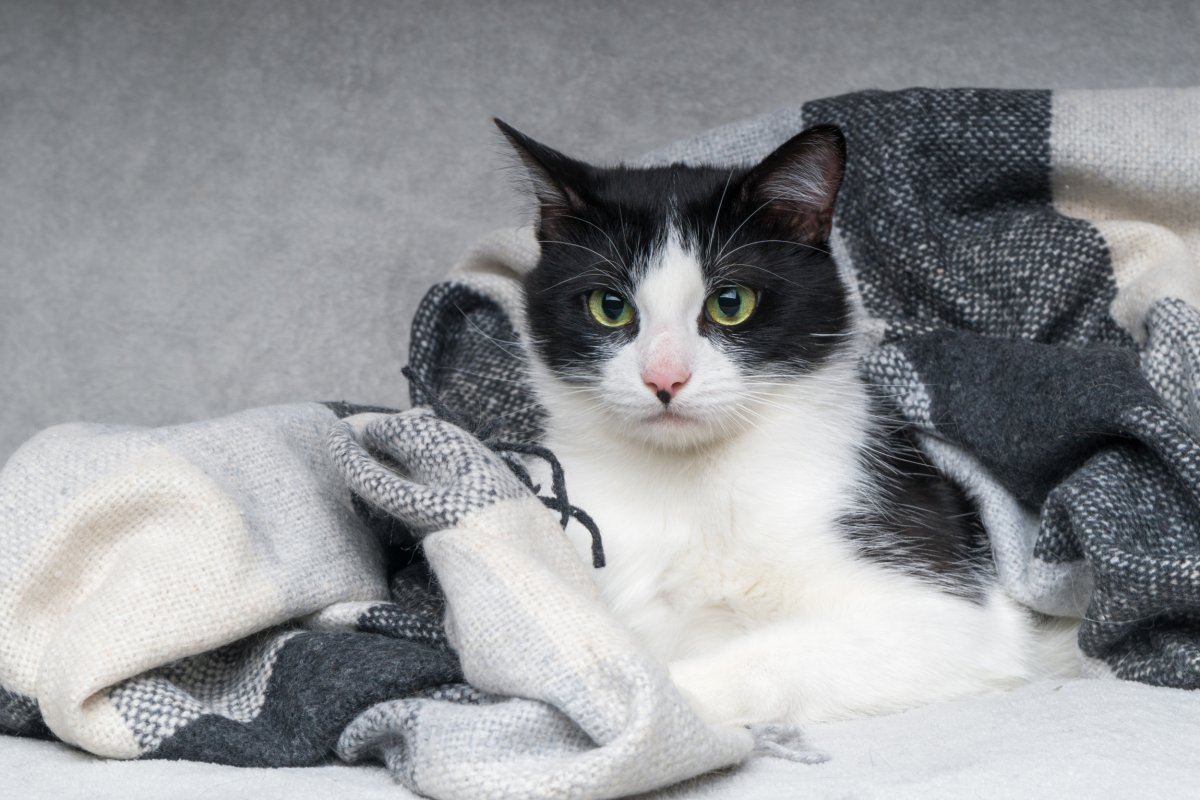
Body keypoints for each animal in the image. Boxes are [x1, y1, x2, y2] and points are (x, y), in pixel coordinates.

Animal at [496, 120, 1080, 734]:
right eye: (610, 306)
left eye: (731, 302)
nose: (665, 377)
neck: (695, 487)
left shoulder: (953, 612)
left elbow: (783, 653)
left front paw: (654, 696)